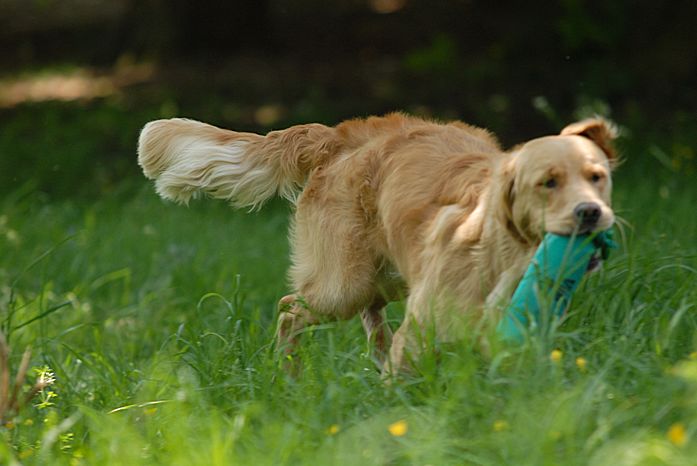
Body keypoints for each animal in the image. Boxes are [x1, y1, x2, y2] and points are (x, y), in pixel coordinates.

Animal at [137, 113, 617, 372]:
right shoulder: (424, 323)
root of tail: (338, 135)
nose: (590, 213)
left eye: (597, 177)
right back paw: (288, 374)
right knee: (291, 309)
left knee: (373, 321)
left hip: (385, 276)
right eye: (548, 183)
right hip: (343, 285)